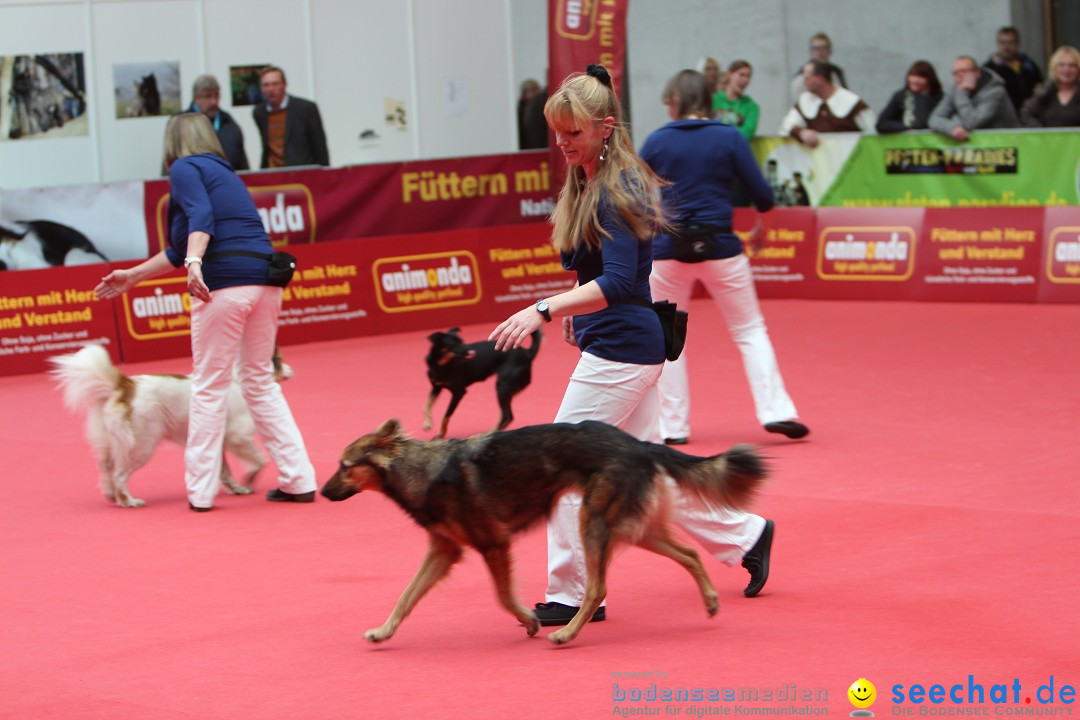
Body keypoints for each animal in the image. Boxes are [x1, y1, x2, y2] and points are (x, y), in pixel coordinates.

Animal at [49, 343, 270, 507]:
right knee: (119, 475)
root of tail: (124, 385)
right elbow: (260, 460)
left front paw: (237, 488)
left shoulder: (217, 443)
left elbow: (225, 471)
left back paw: (111, 494)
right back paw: (129, 501)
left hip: (113, 442)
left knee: (105, 467)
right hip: (141, 446)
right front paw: (249, 479)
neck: (236, 378)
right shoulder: (237, 438)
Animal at [319, 418, 768, 643]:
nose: (321, 493)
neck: (419, 468)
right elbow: (406, 597)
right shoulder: (444, 551)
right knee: (690, 554)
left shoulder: (493, 544)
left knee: (597, 588)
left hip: (595, 523)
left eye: (344, 466)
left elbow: (503, 597)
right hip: (632, 529)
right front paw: (384, 631)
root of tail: (638, 444)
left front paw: (530, 622)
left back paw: (567, 633)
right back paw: (710, 601)